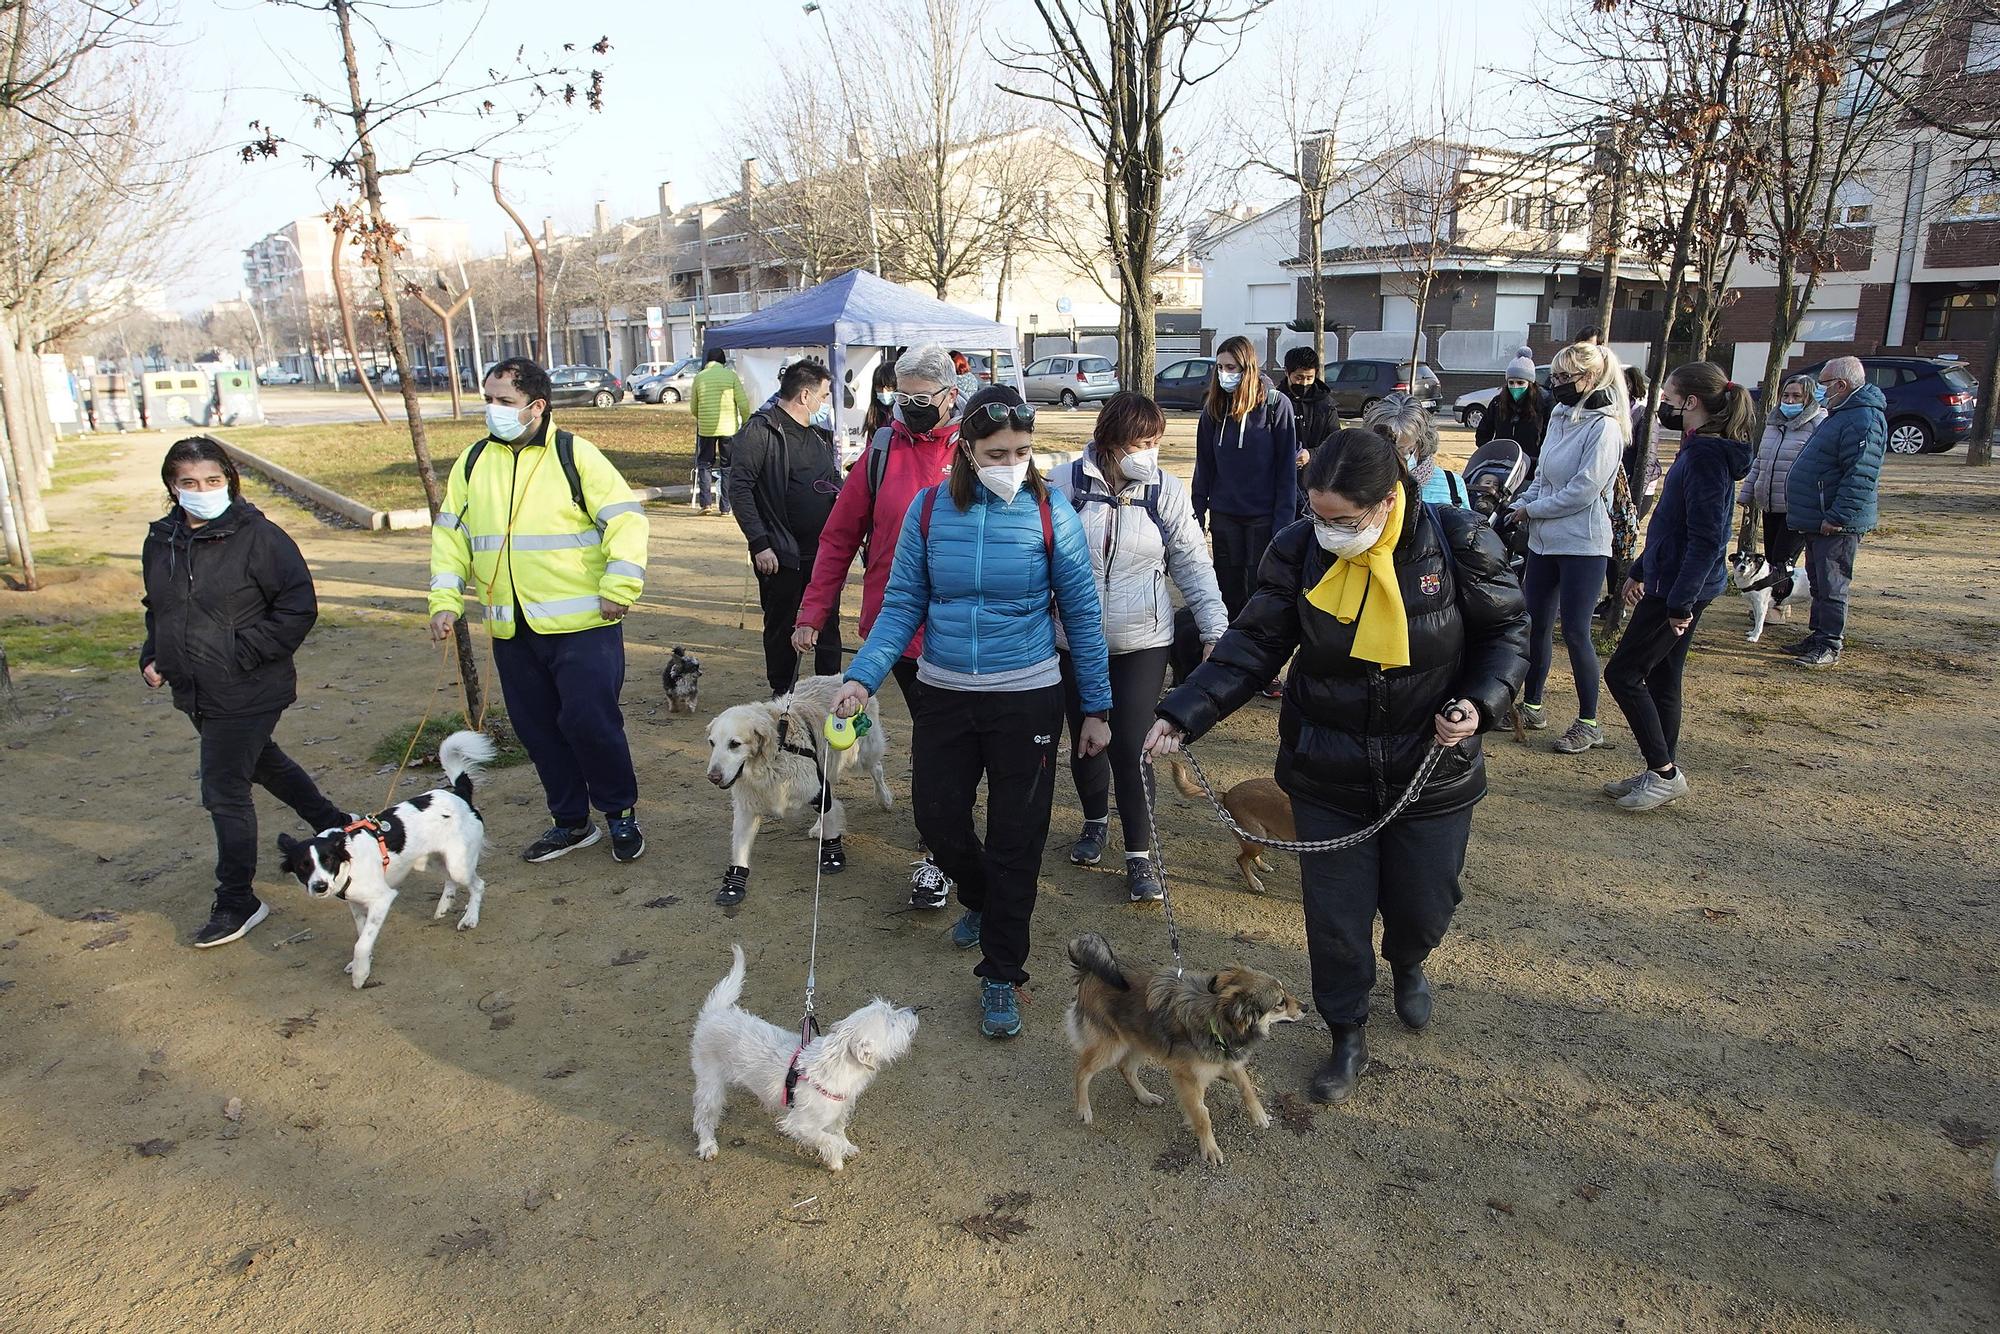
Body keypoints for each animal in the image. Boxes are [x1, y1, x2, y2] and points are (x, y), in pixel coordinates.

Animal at [274, 732, 496, 992]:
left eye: (328, 860)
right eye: (303, 865)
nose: (319, 887)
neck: (349, 863)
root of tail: (459, 793)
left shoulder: (381, 900)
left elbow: (361, 943)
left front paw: (360, 975)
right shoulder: (357, 906)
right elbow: (363, 936)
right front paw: (362, 964)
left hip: (458, 864)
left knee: (477, 884)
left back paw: (470, 917)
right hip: (429, 861)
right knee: (450, 880)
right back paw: (444, 905)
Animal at [692, 944, 916, 1176]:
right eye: (891, 1022)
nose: (914, 1010)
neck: (839, 1066)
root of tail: (715, 1013)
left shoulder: (839, 1110)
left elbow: (839, 1130)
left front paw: (846, 1147)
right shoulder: (800, 1124)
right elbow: (829, 1140)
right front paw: (836, 1161)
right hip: (710, 1084)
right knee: (703, 1116)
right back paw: (707, 1145)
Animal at [1072, 936, 1304, 1160]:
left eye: (1285, 993)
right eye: (1280, 1003)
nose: (1307, 1007)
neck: (1216, 1019)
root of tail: (1089, 970)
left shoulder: (1229, 1061)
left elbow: (1247, 1087)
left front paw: (1259, 1115)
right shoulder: (1190, 1080)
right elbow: (1203, 1115)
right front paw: (1209, 1148)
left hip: (1143, 1039)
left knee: (1126, 1069)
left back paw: (1145, 1096)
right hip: (1110, 1047)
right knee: (1082, 1072)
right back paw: (1084, 1109)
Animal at [1168, 760, 1296, 896]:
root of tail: (1227, 794)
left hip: (1262, 837)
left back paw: (1263, 867)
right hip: (1256, 841)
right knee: (1241, 860)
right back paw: (1255, 884)